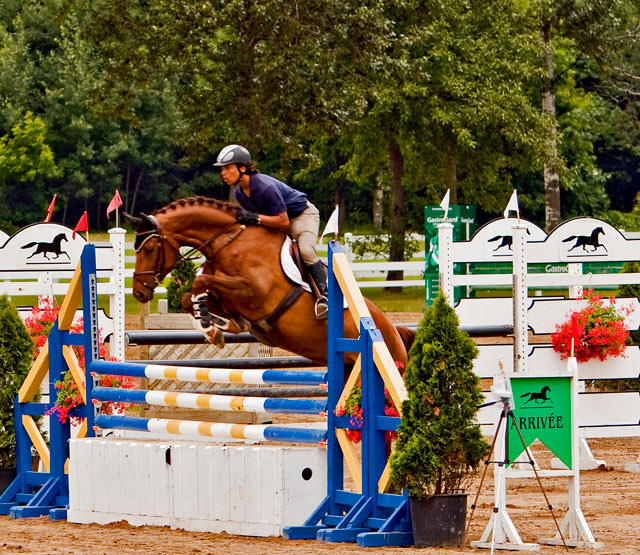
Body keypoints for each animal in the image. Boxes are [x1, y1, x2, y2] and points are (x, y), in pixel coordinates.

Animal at [125, 196, 414, 367]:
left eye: (148, 249)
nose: (139, 293)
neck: (230, 240)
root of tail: (393, 330)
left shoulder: (253, 292)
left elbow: (199, 283)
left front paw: (210, 327)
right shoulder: (227, 294)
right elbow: (192, 296)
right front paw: (215, 325)